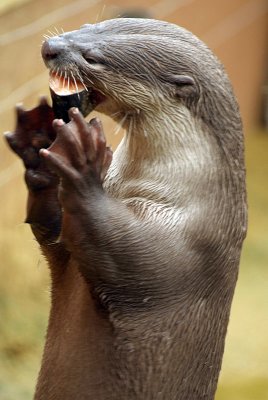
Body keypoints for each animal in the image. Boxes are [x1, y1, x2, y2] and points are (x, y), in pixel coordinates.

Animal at [4, 18, 247, 400]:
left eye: (93, 58)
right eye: (88, 25)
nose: (50, 47)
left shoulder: (185, 245)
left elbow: (118, 249)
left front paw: (84, 160)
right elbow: (51, 228)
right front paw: (38, 141)